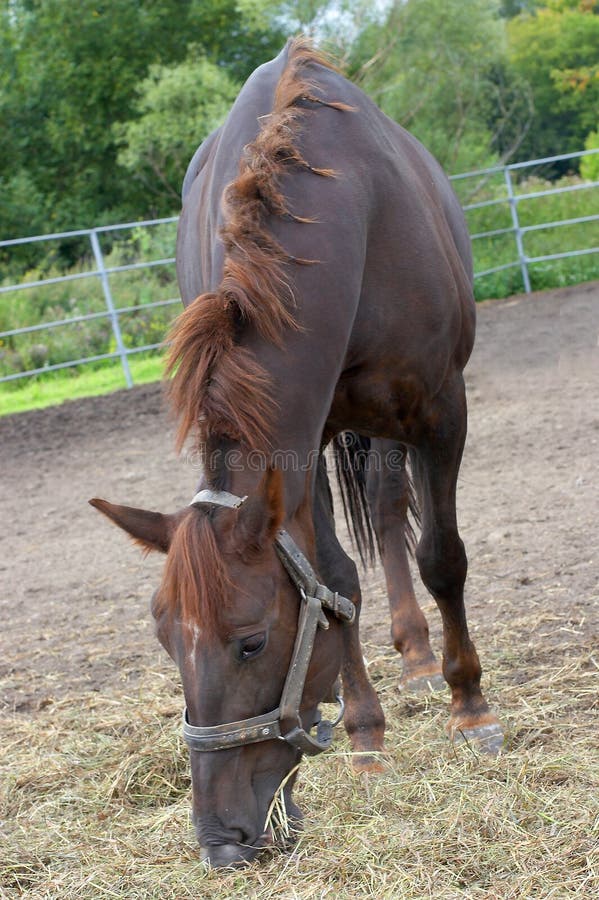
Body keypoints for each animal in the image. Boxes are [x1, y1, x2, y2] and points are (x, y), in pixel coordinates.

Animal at [91, 38, 503, 868]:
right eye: (162, 642)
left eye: (250, 644)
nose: (220, 840)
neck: (349, 214)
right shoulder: (300, 442)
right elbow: (336, 580)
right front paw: (365, 736)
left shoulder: (441, 412)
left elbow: (443, 557)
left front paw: (469, 706)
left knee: (389, 507)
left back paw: (424, 662)